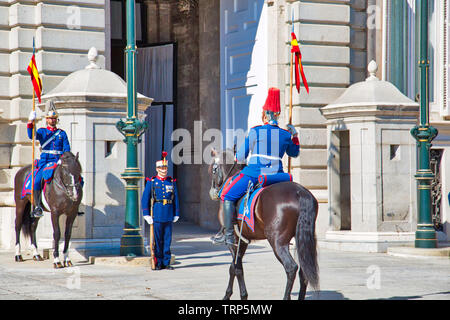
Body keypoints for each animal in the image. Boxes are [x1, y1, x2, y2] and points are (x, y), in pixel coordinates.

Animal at [209, 149, 318, 300]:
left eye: (213, 169)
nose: (212, 192)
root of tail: (299, 192)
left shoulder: (234, 240)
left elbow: (236, 268)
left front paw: (236, 295)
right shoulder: (243, 241)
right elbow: (234, 267)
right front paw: (234, 294)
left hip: (277, 242)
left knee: (291, 268)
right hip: (302, 240)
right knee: (304, 272)